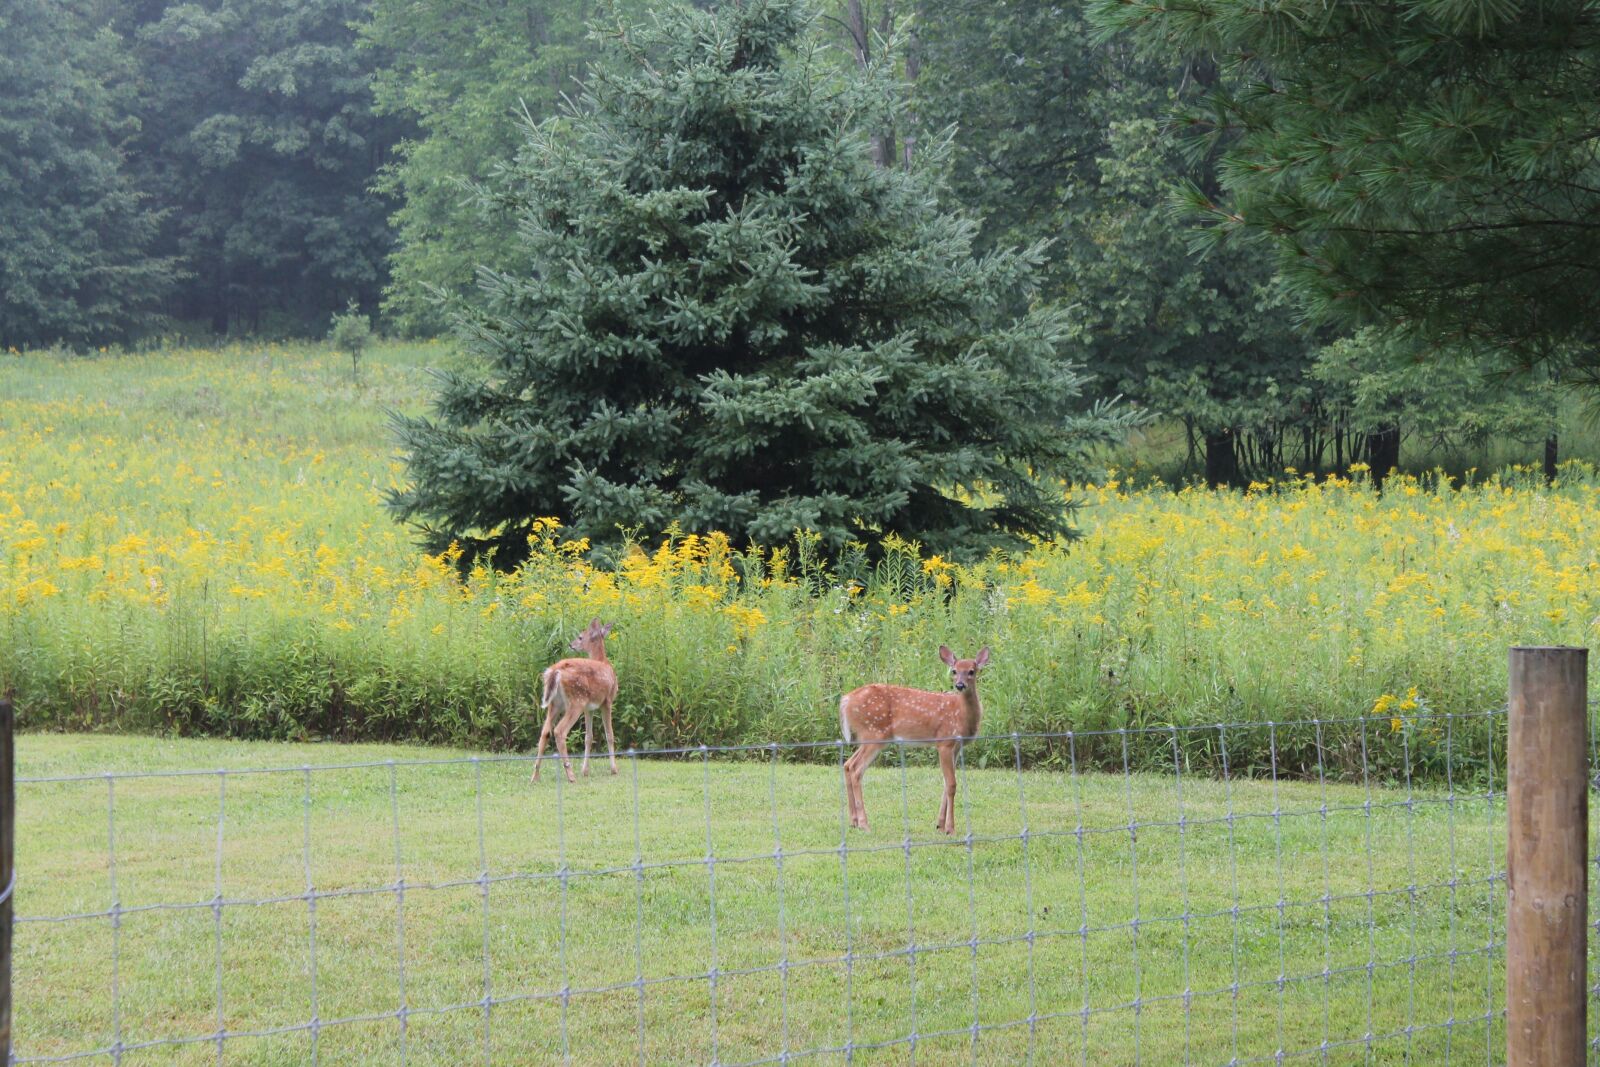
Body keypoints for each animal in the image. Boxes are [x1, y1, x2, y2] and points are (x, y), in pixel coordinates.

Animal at [531, 618, 619, 783]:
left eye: (580, 637)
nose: (571, 645)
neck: (603, 661)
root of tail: (555, 670)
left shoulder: (589, 708)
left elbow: (588, 737)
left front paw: (585, 771)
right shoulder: (607, 701)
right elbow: (609, 735)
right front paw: (614, 769)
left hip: (555, 703)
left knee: (545, 732)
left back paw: (535, 776)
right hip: (576, 701)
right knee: (559, 731)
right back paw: (570, 775)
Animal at [840, 645, 990, 834]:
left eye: (971, 671)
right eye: (954, 671)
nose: (960, 685)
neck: (960, 715)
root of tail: (845, 700)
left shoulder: (956, 748)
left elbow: (945, 783)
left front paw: (940, 824)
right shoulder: (944, 742)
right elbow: (952, 784)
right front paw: (950, 828)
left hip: (868, 736)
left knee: (847, 764)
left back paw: (853, 821)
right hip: (874, 733)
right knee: (856, 769)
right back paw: (864, 823)